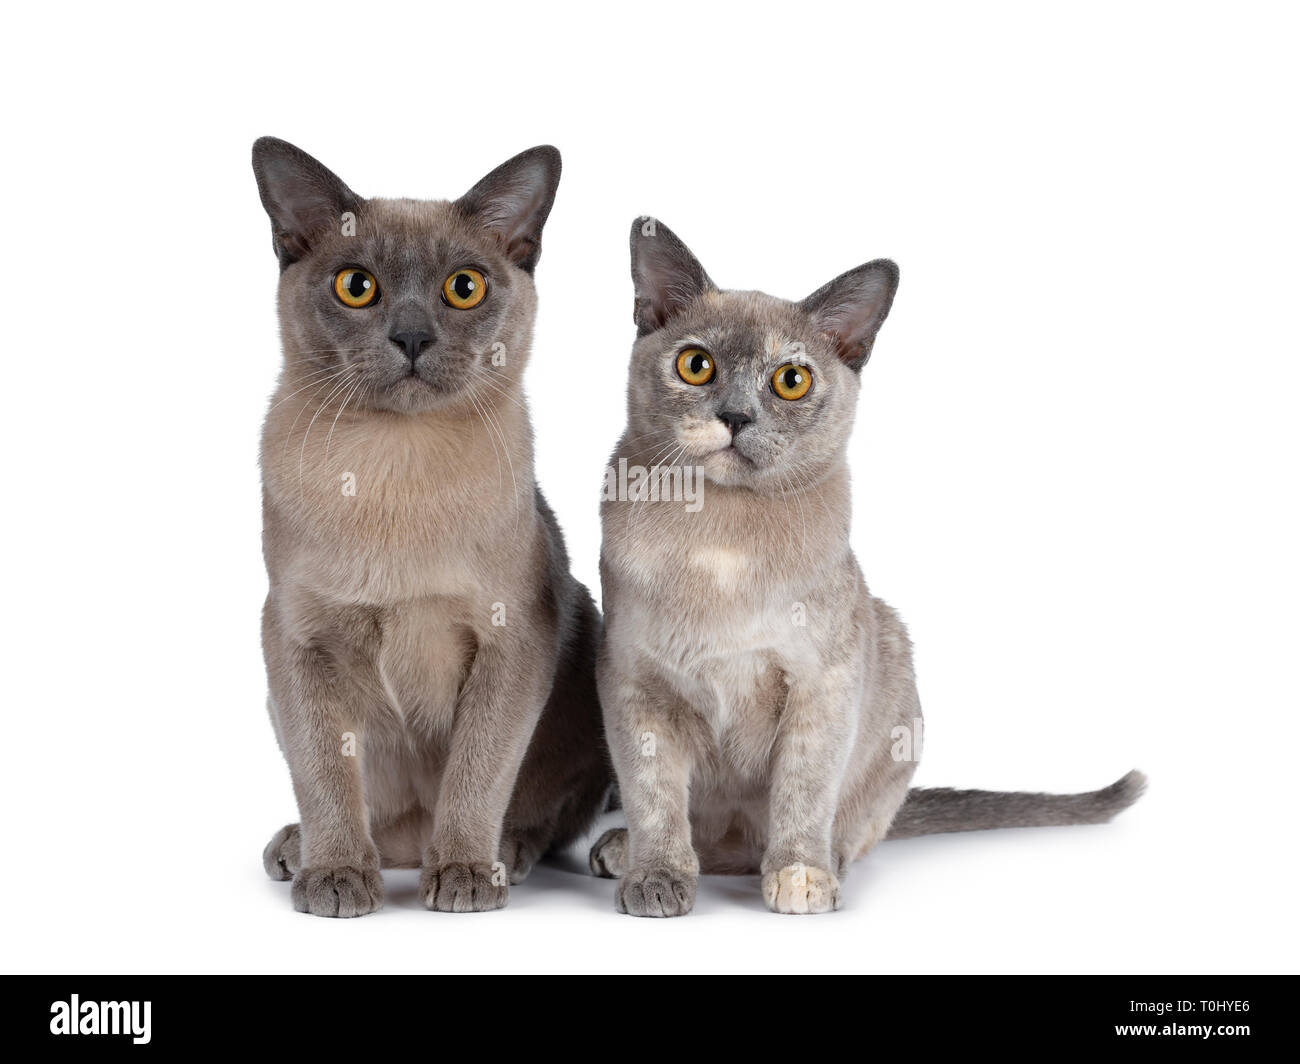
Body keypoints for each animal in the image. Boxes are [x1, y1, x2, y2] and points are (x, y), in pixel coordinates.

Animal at [252, 136, 608, 915]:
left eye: (463, 288)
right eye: (356, 286)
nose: (412, 336)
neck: (395, 467)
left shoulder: (511, 640)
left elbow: (477, 770)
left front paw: (466, 873)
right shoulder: (298, 639)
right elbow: (324, 771)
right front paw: (336, 875)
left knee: (538, 813)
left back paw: (500, 856)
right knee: (373, 820)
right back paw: (308, 850)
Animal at [592, 222, 1149, 910]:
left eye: (791, 380)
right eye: (697, 366)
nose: (736, 416)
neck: (721, 539)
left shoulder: (822, 683)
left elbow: (803, 790)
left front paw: (798, 877)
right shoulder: (635, 682)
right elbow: (654, 795)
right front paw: (658, 878)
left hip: (892, 660)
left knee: (815, 835)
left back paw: (817, 865)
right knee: (707, 837)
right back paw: (626, 852)